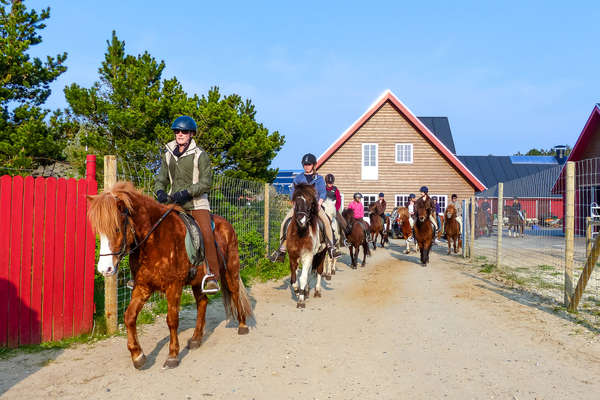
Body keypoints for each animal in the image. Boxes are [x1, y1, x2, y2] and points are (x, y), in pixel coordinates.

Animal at [86, 181, 251, 368]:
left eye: (116, 229)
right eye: (99, 231)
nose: (104, 269)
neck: (154, 241)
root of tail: (227, 225)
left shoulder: (174, 287)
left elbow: (172, 320)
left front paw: (172, 355)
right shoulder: (143, 287)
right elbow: (129, 316)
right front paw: (137, 355)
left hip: (231, 270)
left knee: (235, 293)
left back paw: (242, 326)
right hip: (197, 281)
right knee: (202, 303)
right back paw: (196, 338)